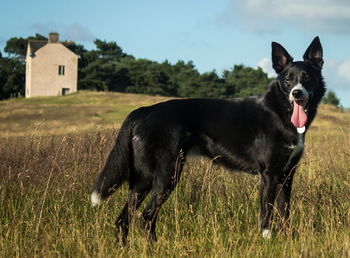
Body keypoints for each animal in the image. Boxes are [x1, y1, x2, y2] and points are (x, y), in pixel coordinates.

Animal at [90, 36, 326, 242]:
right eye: (288, 80)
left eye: (307, 78)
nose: (296, 93)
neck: (280, 111)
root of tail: (144, 110)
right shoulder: (269, 174)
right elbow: (266, 214)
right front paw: (267, 241)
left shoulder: (287, 174)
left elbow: (285, 213)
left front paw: (289, 240)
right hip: (165, 174)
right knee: (146, 216)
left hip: (143, 179)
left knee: (125, 219)